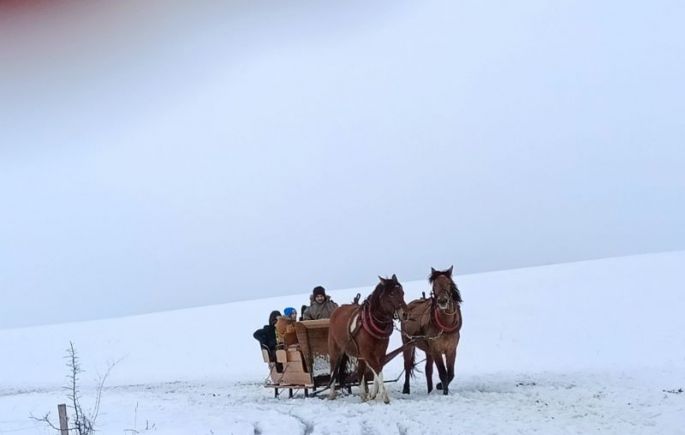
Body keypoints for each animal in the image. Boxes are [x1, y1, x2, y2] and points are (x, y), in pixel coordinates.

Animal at [326, 276, 406, 406]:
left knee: (360, 372)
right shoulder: (368, 354)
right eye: (392, 294)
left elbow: (377, 371)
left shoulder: (379, 353)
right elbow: (378, 371)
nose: (405, 314)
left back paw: (363, 395)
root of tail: (336, 311)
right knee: (334, 370)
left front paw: (372, 394)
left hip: (359, 356)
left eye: (402, 293)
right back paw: (332, 394)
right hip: (335, 351)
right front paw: (385, 397)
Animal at [398, 268, 462, 396]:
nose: (442, 301)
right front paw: (444, 392)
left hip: (428, 350)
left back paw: (430, 390)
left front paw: (440, 386)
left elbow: (450, 374)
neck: (445, 326)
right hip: (407, 343)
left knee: (428, 369)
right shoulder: (436, 350)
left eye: (449, 283)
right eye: (434, 285)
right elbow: (443, 373)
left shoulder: (451, 350)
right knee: (407, 365)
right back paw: (406, 388)